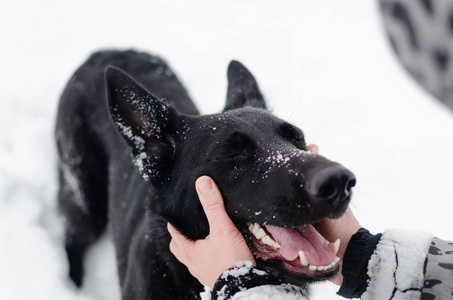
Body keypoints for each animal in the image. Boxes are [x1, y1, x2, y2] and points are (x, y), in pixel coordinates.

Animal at [54, 50, 354, 298]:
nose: (339, 182)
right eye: (234, 154)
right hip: (86, 200)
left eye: (297, 139)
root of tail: (104, 51)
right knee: (71, 236)